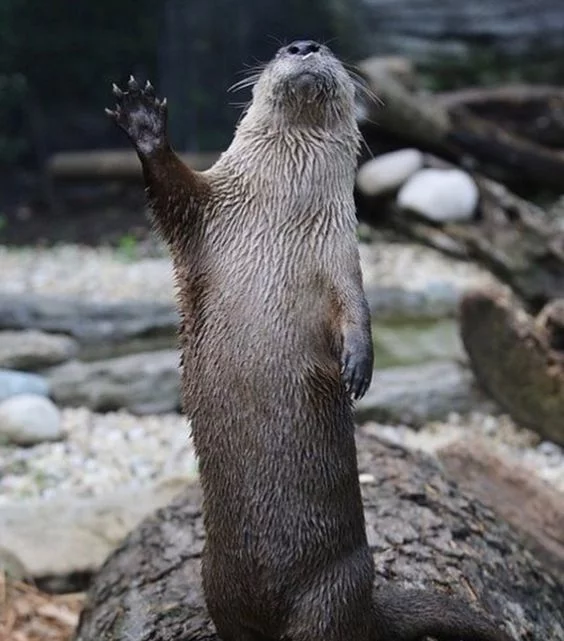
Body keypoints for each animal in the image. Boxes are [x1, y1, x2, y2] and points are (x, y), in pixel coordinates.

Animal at [107, 40, 516, 640]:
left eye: (324, 48)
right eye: (283, 48)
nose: (303, 46)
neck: (282, 213)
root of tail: (368, 602)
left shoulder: (341, 254)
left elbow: (357, 310)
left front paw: (359, 367)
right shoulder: (210, 209)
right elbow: (172, 191)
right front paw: (142, 122)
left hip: (330, 591)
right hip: (213, 576)